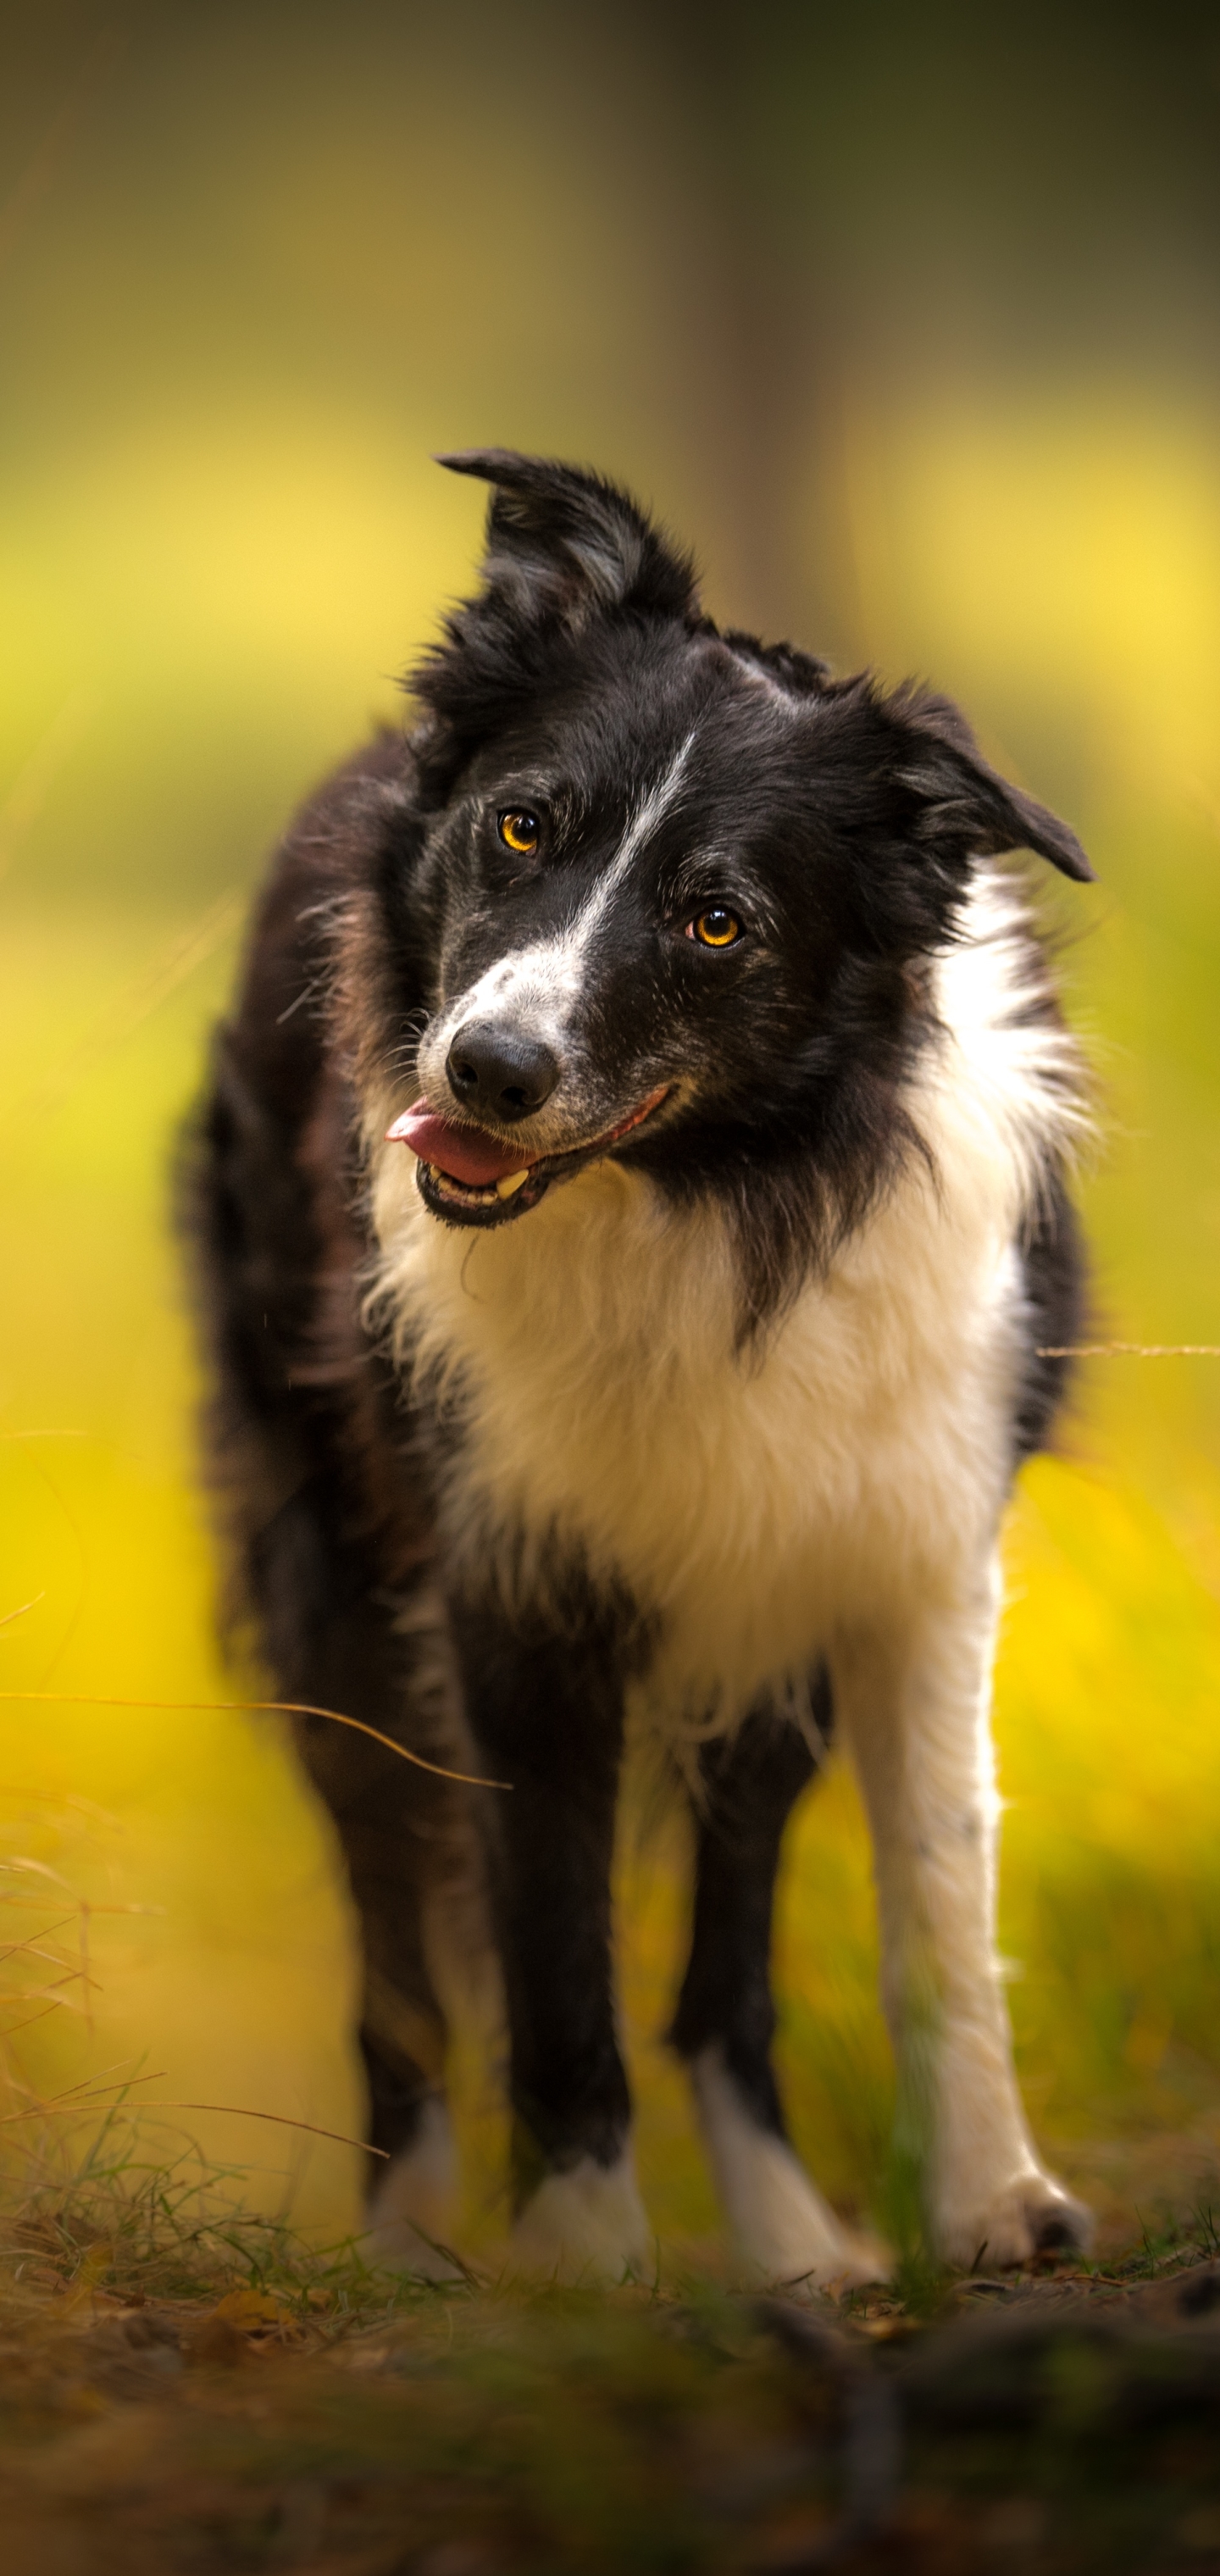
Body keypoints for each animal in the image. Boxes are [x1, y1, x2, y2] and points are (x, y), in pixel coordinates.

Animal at [187, 453, 1096, 2287]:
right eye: (524, 824)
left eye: (718, 921)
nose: (487, 1068)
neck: (706, 1196)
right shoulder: (508, 1583)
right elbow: (550, 1954)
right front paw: (591, 2271)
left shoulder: (906, 1553)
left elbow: (936, 1904)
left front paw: (989, 2201)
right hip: (332, 1581)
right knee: (399, 1957)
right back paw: (411, 2242)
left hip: (764, 1627)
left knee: (724, 1971)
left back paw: (797, 2246)